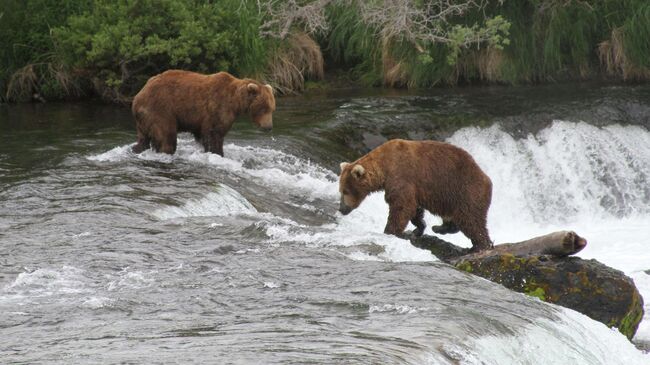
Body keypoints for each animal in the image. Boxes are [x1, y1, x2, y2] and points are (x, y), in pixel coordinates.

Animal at [130, 69, 274, 155]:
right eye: (264, 108)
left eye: (272, 108)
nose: (269, 126)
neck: (236, 101)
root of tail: (138, 96)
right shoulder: (217, 107)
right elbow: (214, 134)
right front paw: (217, 152)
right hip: (160, 109)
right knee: (166, 136)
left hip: (144, 119)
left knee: (143, 139)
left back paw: (136, 149)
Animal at [340, 138, 492, 252]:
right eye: (341, 190)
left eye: (345, 191)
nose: (341, 209)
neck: (385, 167)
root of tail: (487, 179)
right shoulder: (413, 187)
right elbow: (414, 208)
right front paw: (418, 228)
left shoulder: (401, 175)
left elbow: (402, 206)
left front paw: (389, 231)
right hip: (450, 199)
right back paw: (439, 228)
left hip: (465, 191)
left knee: (471, 220)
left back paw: (480, 246)